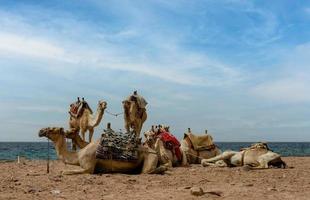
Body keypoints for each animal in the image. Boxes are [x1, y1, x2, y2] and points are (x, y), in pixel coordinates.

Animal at [38, 127, 167, 174]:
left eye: (52, 129)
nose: (41, 131)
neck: (78, 154)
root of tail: (153, 151)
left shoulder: (88, 167)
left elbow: (65, 172)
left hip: (151, 156)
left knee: (147, 171)